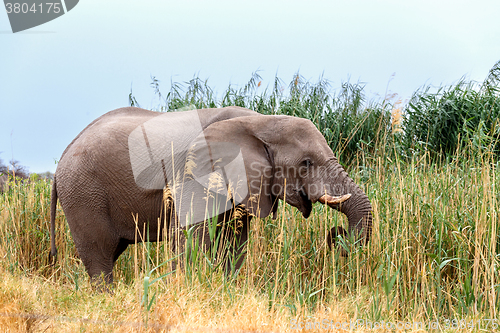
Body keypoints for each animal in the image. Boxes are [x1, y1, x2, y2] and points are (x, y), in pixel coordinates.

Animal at [49, 105, 372, 282]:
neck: (260, 120)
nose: (336, 233)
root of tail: (64, 153)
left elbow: (234, 243)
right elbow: (189, 239)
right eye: (306, 163)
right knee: (100, 256)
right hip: (83, 193)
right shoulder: (193, 173)